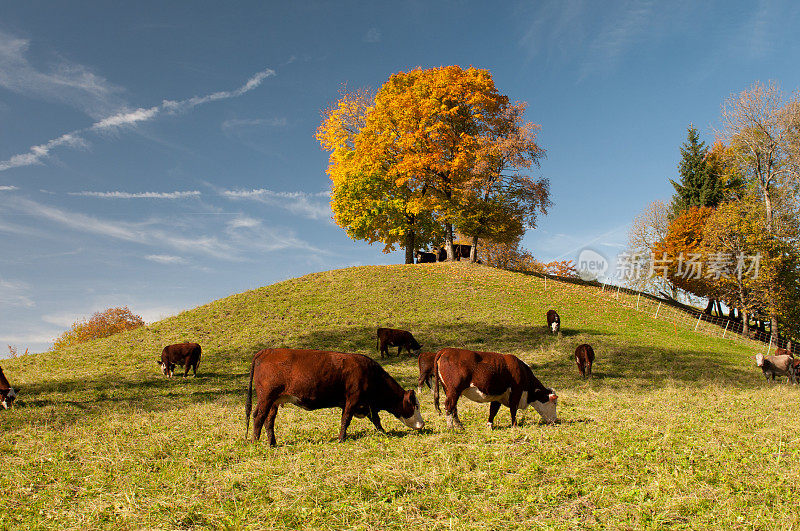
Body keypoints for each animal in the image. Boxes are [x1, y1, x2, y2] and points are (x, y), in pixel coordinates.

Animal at [245, 348, 424, 446]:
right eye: (415, 405)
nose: (422, 424)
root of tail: (268, 351)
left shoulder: (366, 404)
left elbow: (376, 420)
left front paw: (384, 433)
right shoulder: (352, 399)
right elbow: (346, 419)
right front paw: (341, 438)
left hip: (274, 401)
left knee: (269, 420)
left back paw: (272, 443)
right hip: (266, 397)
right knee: (258, 417)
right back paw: (255, 442)